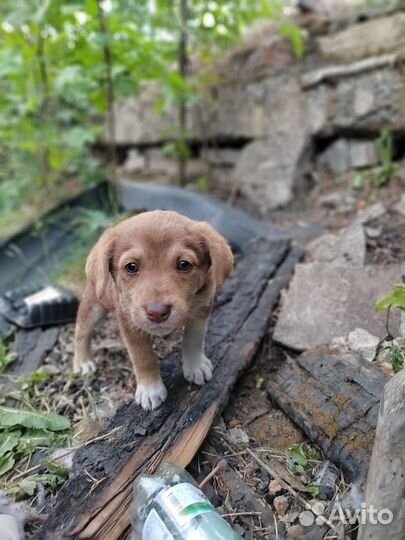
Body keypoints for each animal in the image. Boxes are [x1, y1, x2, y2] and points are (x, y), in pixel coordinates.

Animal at [71, 210, 232, 410]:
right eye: (131, 267)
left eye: (184, 264)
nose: (157, 312)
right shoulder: (130, 324)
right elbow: (143, 357)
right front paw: (150, 388)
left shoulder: (201, 309)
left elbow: (193, 340)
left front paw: (195, 366)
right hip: (94, 304)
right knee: (81, 331)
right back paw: (83, 362)